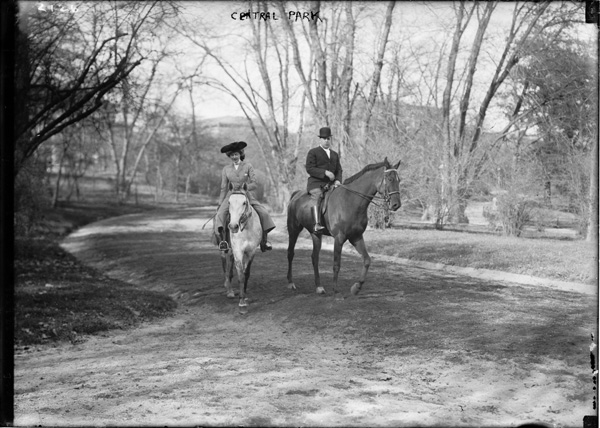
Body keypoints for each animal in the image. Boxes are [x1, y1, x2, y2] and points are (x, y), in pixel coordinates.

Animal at [288, 158, 404, 298]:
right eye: (390, 179)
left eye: (399, 180)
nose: (396, 204)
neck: (352, 201)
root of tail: (296, 195)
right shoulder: (339, 238)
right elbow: (336, 264)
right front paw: (336, 290)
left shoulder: (356, 237)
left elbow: (367, 260)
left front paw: (356, 287)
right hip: (293, 230)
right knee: (290, 253)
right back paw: (291, 283)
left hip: (316, 234)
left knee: (314, 257)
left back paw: (319, 287)